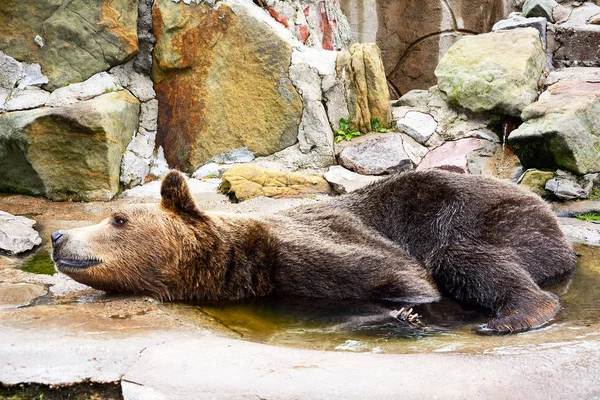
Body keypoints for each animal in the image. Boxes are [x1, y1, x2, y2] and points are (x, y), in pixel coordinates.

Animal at [51, 170, 576, 334]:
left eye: (117, 219)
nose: (58, 237)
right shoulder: (284, 287)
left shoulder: (311, 247)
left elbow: (409, 277)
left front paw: (406, 313)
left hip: (493, 217)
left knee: (466, 257)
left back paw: (511, 315)